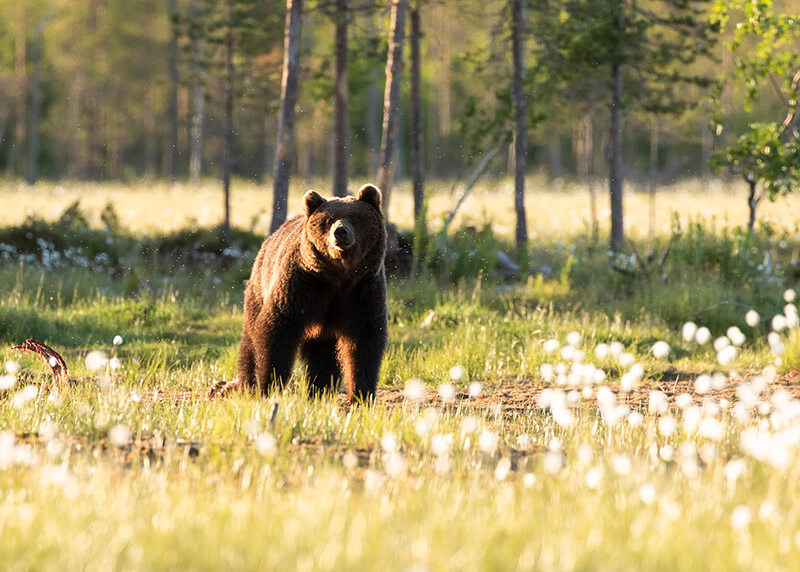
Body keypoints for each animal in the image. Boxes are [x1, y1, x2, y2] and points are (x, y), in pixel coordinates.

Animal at [238, 184, 388, 402]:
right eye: (328, 219)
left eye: (355, 217)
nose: (340, 231)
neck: (338, 277)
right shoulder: (301, 285)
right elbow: (276, 331)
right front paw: (269, 385)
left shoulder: (362, 290)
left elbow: (364, 343)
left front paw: (361, 395)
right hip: (259, 290)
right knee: (250, 340)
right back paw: (247, 384)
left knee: (323, 357)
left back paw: (319, 391)